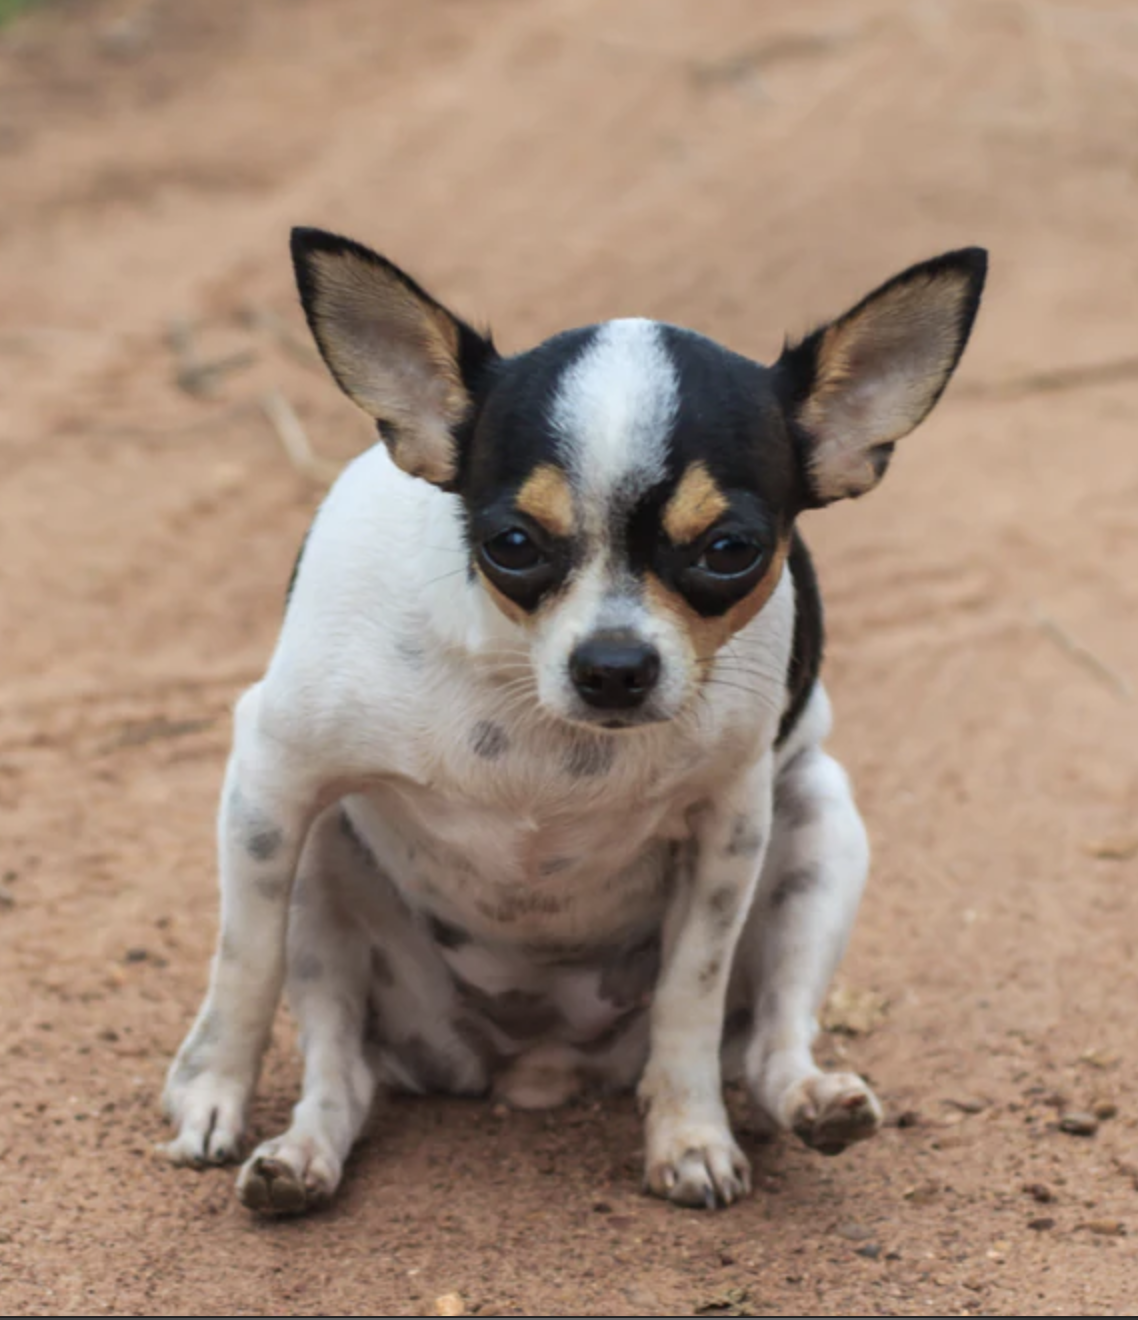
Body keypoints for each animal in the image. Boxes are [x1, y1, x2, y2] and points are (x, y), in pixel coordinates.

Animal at [162, 232, 987, 1209]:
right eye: (512, 545)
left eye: (730, 551)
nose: (615, 667)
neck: (540, 722)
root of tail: (532, 1067)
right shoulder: (274, 784)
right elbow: (243, 965)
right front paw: (212, 1091)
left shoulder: (730, 831)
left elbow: (691, 996)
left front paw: (689, 1135)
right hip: (324, 880)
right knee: (342, 1069)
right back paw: (300, 1158)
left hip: (816, 828)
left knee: (767, 1042)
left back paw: (813, 1101)